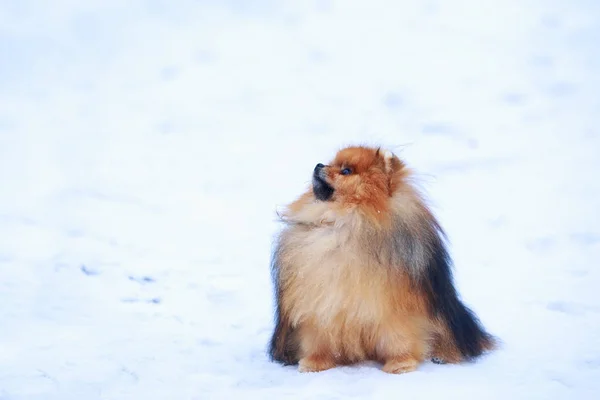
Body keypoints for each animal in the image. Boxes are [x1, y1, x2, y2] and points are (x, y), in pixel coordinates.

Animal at [270, 145, 494, 374]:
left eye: (346, 171)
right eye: (331, 163)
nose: (319, 165)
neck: (345, 222)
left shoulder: (392, 309)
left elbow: (397, 338)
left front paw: (400, 363)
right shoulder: (318, 308)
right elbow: (318, 339)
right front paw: (315, 362)